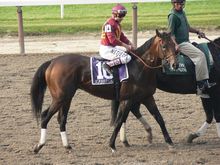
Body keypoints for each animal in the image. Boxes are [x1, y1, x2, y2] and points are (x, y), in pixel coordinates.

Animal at [30, 29, 177, 153]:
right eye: (164, 46)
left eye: (174, 45)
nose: (174, 64)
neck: (140, 67)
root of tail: (52, 62)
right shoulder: (127, 100)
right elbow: (119, 121)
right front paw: (112, 145)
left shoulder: (147, 97)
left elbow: (159, 118)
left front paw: (169, 142)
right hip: (60, 97)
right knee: (45, 116)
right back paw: (39, 146)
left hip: (67, 98)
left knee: (61, 119)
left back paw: (67, 146)